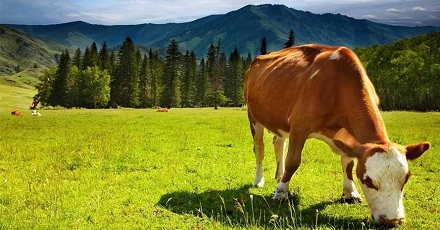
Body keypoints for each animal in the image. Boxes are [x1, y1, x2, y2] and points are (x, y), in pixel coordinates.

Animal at [246, 44, 432, 226]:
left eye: (406, 178)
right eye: (368, 180)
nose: (393, 220)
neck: (338, 87)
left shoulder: (349, 138)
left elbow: (348, 163)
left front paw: (350, 192)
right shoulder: (299, 126)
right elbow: (293, 161)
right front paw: (281, 192)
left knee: (279, 143)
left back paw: (279, 175)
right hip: (253, 116)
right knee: (260, 149)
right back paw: (259, 180)